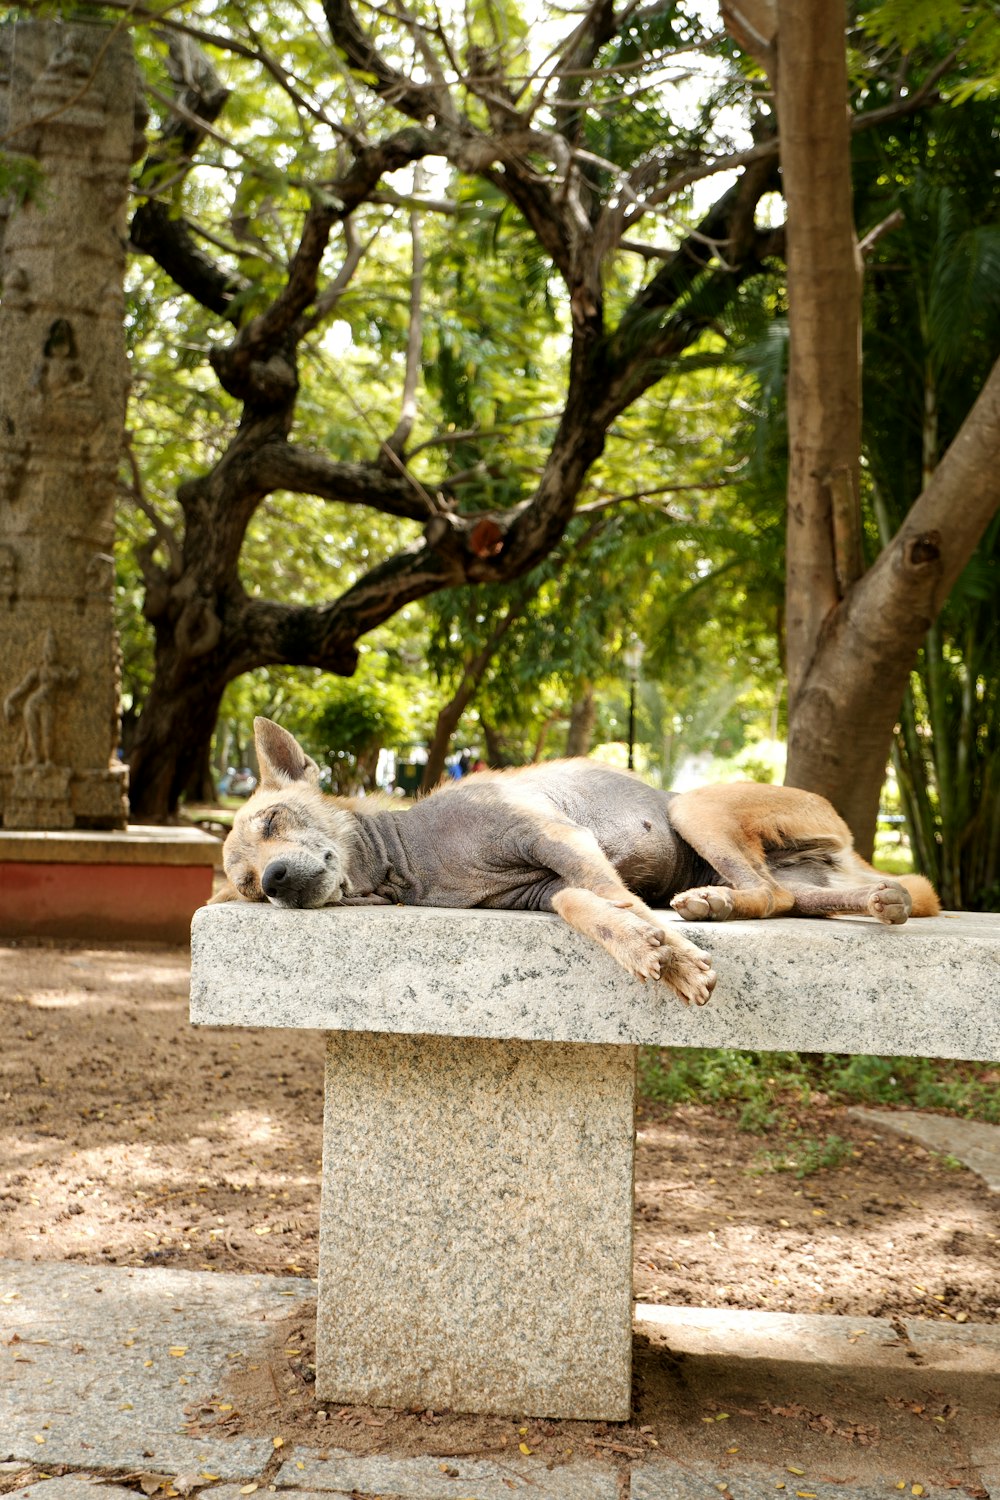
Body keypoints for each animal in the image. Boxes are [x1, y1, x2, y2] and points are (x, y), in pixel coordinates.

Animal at [215, 717, 941, 1008]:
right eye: (247, 887)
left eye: (273, 822)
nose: (274, 881)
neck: (412, 856)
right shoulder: (538, 888)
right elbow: (579, 903)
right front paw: (644, 944)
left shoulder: (555, 836)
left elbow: (612, 896)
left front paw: (674, 953)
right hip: (812, 880)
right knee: (797, 897)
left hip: (694, 808)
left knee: (768, 893)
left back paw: (709, 906)